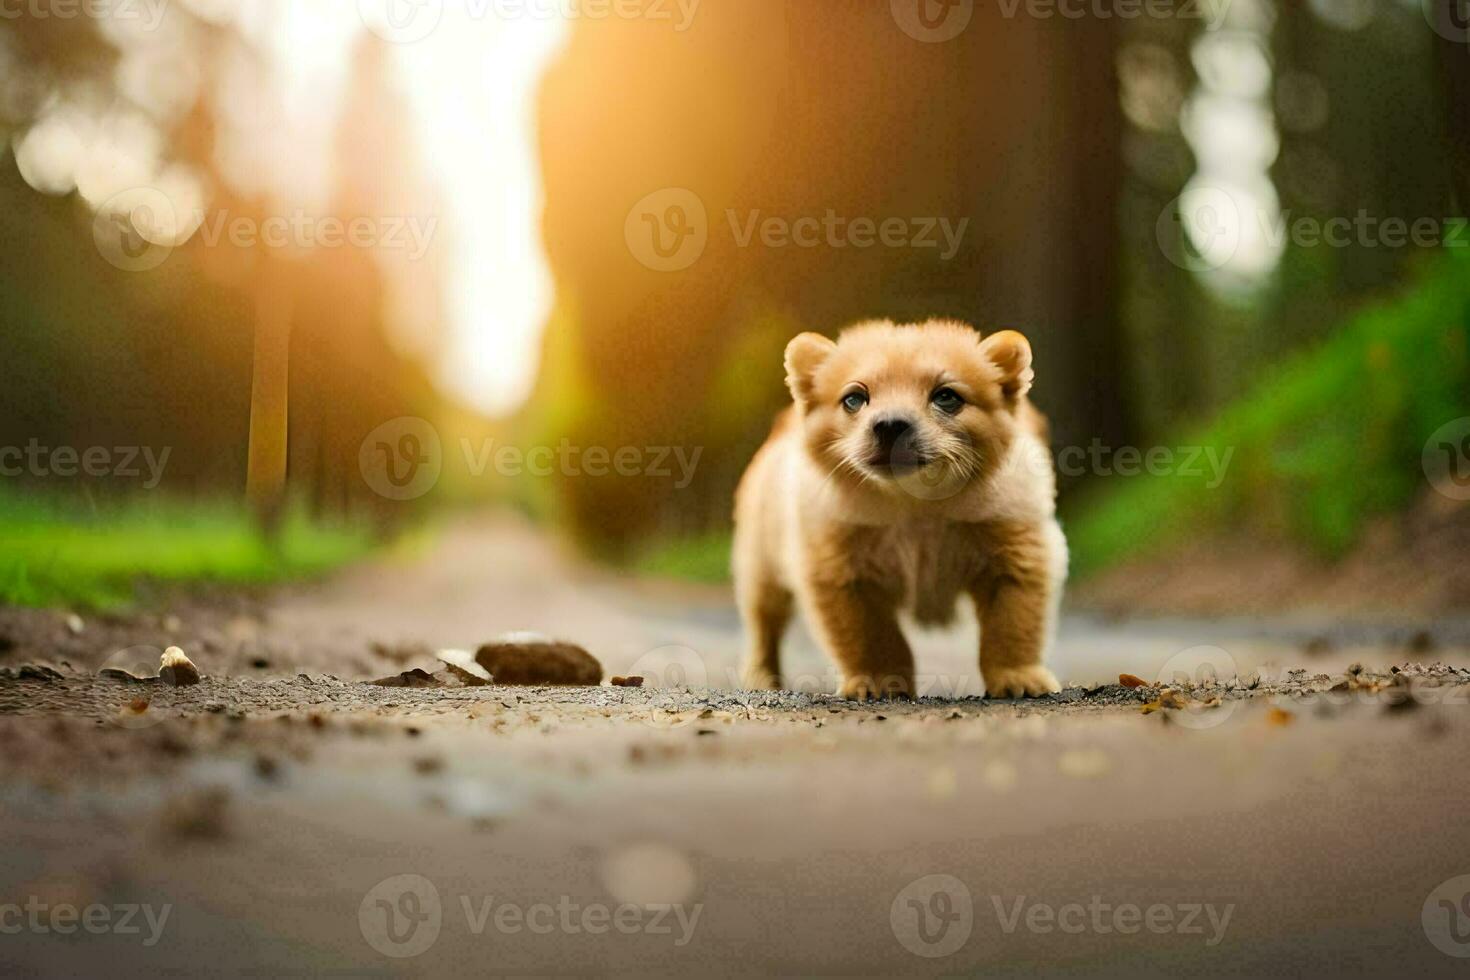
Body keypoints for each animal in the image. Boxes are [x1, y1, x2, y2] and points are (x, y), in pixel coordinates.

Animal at [735, 320, 1070, 696]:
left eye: (946, 396)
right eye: (854, 399)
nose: (890, 425)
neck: (916, 508)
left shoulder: (1018, 556)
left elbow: (1012, 626)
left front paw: (1018, 678)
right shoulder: (840, 571)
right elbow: (871, 637)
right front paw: (878, 681)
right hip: (761, 569)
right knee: (764, 627)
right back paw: (762, 678)